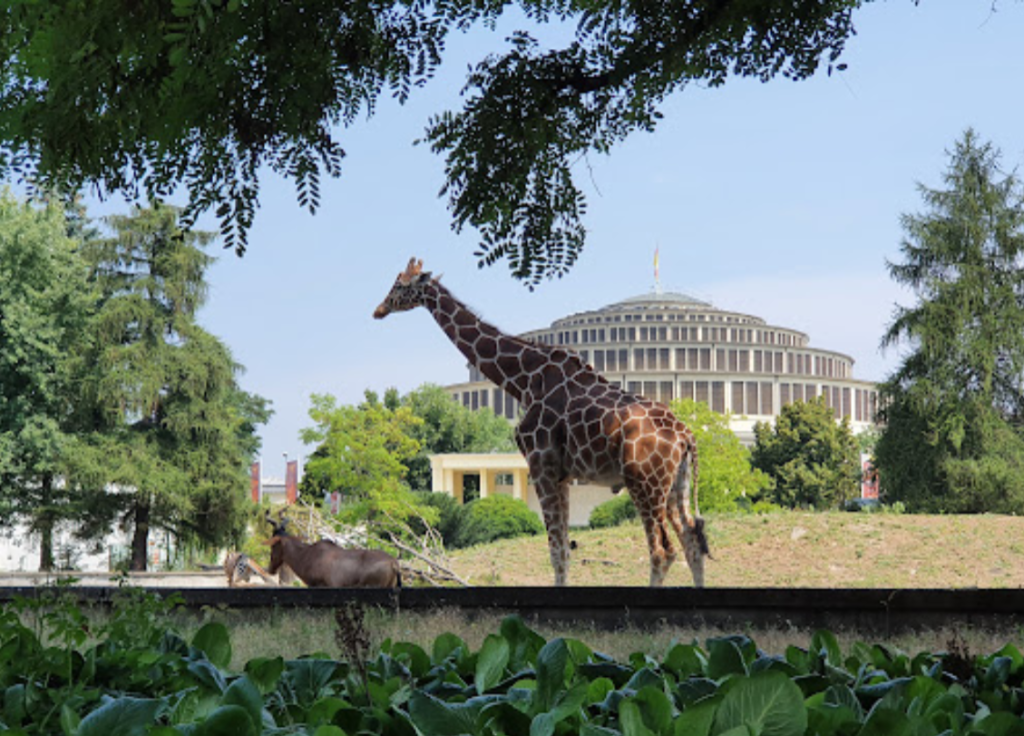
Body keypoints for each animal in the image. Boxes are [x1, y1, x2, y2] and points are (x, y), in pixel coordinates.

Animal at [372, 258, 708, 585]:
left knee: (662, 551)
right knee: (692, 543)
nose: (379, 309)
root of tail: (686, 435)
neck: (524, 382)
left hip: (644, 483)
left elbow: (556, 552)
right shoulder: (560, 474)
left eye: (399, 285)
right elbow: (565, 551)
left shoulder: (540, 463)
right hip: (675, 485)